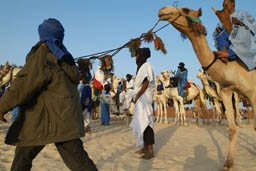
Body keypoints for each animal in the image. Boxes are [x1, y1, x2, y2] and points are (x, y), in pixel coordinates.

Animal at [158, 5, 256, 170]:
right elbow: (231, 130)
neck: (232, 68)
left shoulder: (252, 93)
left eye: (185, 9)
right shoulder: (226, 92)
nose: (163, 9)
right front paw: (228, 164)